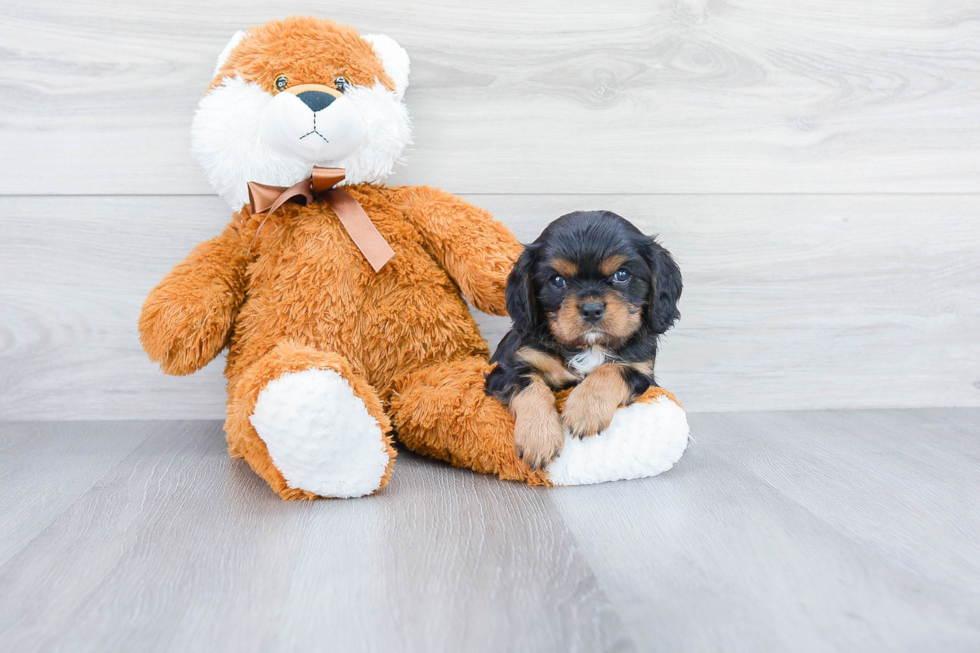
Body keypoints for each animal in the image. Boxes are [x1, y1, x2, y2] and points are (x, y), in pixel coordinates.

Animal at [484, 211, 680, 472]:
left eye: (621, 275)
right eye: (557, 281)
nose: (591, 309)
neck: (589, 347)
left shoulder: (641, 370)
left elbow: (610, 369)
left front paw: (585, 411)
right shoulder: (508, 368)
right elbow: (531, 386)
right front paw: (539, 437)